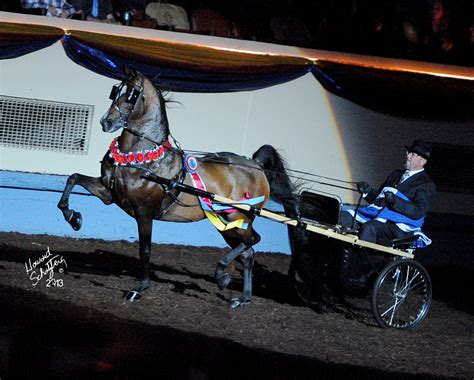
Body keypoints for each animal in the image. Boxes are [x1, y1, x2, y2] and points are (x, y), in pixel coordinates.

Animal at [56, 67, 296, 306]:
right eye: (115, 91)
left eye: (131, 94)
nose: (106, 122)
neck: (141, 158)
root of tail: (256, 165)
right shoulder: (108, 193)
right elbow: (73, 179)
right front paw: (73, 218)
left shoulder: (144, 212)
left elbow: (145, 250)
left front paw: (139, 288)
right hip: (227, 223)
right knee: (248, 252)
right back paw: (242, 297)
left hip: (239, 217)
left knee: (252, 241)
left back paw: (222, 276)